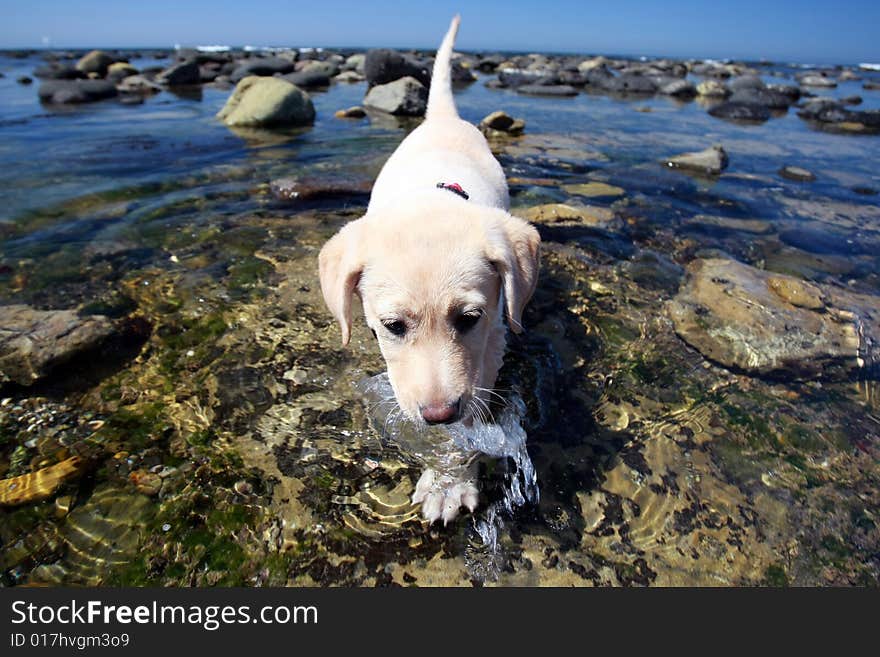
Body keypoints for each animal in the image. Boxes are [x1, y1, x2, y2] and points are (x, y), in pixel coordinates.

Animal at [318, 15, 536, 524]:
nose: (438, 413)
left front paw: (450, 479)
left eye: (469, 319)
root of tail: (440, 119)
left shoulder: (493, 336)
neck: (430, 196)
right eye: (392, 327)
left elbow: (472, 416)